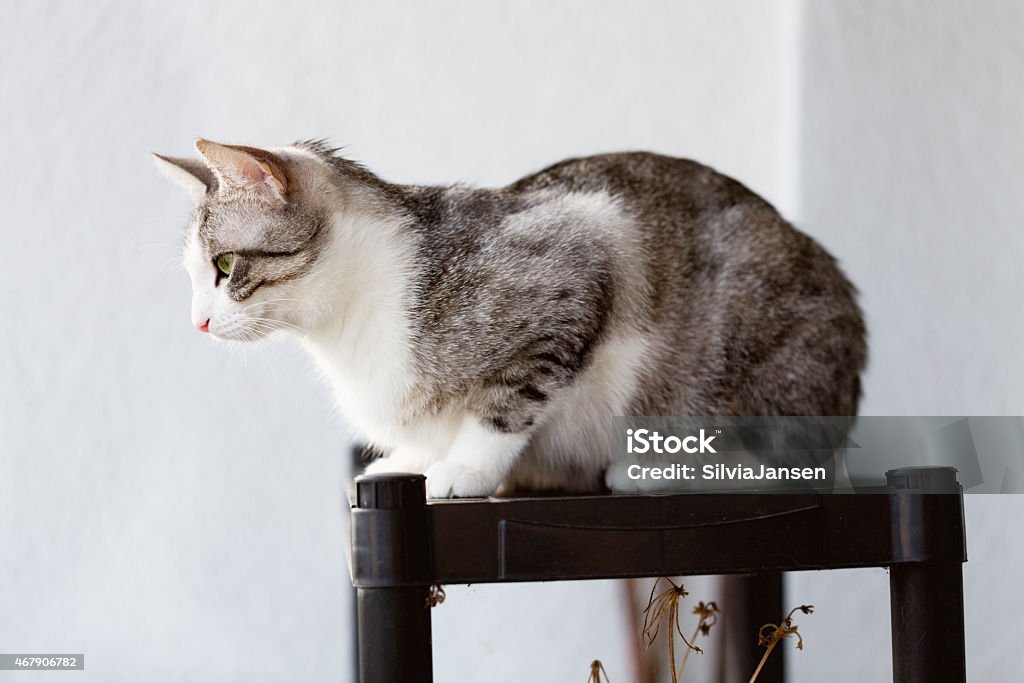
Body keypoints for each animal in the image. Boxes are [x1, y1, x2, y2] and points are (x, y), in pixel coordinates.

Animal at [155, 139, 868, 499]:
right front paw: (409, 460)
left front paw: (466, 470)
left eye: (224, 267)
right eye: (191, 276)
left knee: (788, 463)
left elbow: (504, 406)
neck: (342, 328)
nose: (197, 323)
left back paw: (658, 470)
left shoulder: (579, 259)